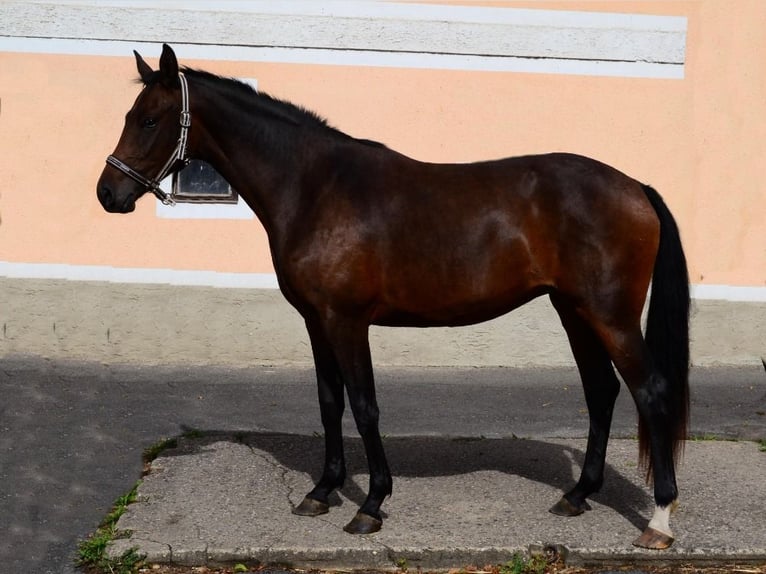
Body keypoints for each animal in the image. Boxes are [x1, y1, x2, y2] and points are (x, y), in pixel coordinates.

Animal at [94, 46, 688, 552]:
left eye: (149, 120)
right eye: (130, 115)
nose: (108, 193)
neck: (315, 188)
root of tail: (635, 187)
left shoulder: (347, 321)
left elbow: (364, 405)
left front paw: (372, 504)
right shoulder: (316, 322)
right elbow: (329, 402)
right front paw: (322, 491)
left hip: (610, 315)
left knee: (650, 392)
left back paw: (659, 521)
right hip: (574, 311)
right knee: (601, 392)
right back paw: (578, 495)